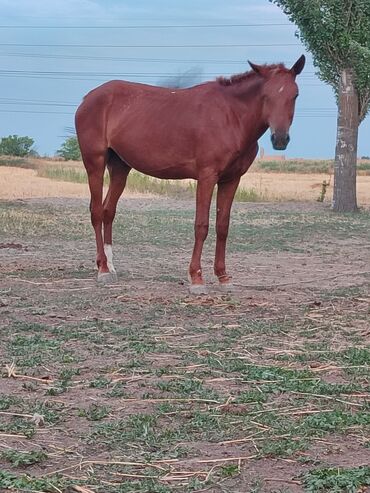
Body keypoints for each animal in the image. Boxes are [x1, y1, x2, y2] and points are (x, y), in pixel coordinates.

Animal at [76, 54, 306, 292]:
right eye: (266, 96)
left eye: (295, 95)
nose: (280, 139)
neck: (230, 116)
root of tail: (88, 98)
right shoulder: (207, 177)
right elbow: (201, 225)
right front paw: (196, 278)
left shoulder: (231, 180)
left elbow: (222, 226)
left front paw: (223, 277)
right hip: (95, 163)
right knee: (96, 211)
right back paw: (103, 270)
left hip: (120, 168)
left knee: (108, 211)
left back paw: (110, 266)